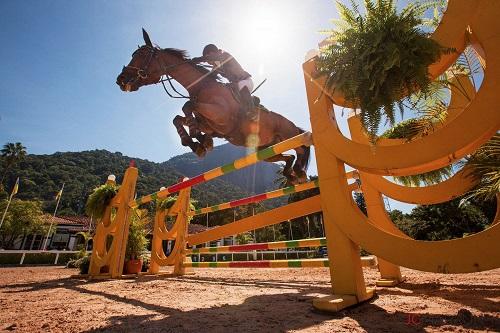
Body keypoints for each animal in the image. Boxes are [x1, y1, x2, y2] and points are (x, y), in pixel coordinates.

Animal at [116, 29, 308, 183]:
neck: (201, 86)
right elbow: (178, 118)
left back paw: (299, 172)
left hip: (289, 135)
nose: (120, 80)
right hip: (266, 150)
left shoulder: (220, 115)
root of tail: (293, 124)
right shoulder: (208, 123)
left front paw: (200, 140)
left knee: (302, 148)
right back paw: (290, 174)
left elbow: (188, 105)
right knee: (288, 156)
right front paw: (196, 143)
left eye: (142, 55)